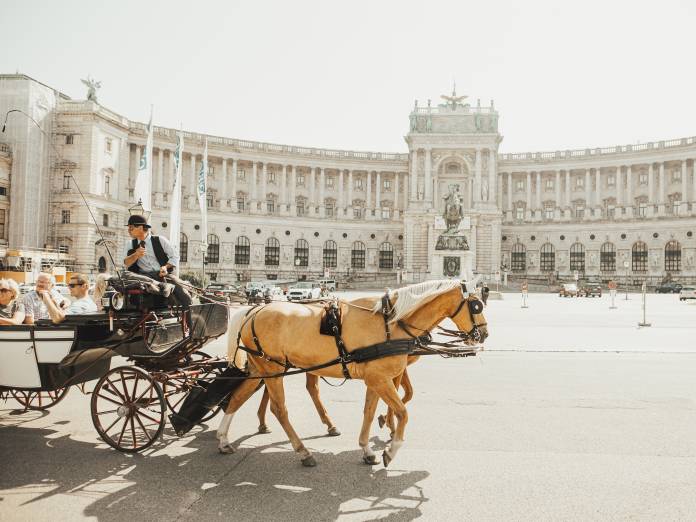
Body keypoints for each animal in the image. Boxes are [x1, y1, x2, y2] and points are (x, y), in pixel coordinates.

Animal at [216, 278, 484, 466]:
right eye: (476, 305)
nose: (485, 333)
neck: (391, 323)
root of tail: (254, 310)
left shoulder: (376, 379)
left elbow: (370, 412)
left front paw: (367, 448)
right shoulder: (381, 378)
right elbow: (403, 411)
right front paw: (391, 448)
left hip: (262, 367)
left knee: (238, 396)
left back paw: (224, 440)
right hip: (273, 367)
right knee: (279, 408)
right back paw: (303, 451)